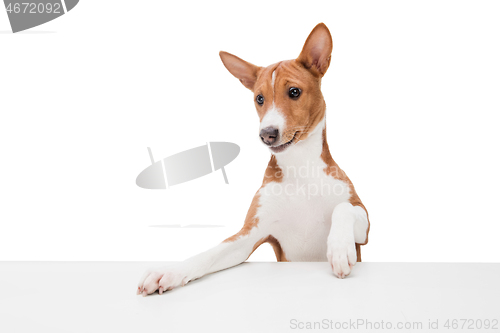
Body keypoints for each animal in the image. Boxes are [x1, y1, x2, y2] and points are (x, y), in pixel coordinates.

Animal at [139, 22, 370, 294]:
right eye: (259, 99)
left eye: (294, 92)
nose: (267, 134)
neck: (301, 170)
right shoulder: (249, 235)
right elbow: (208, 254)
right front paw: (171, 271)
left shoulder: (363, 223)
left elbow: (343, 208)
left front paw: (339, 249)